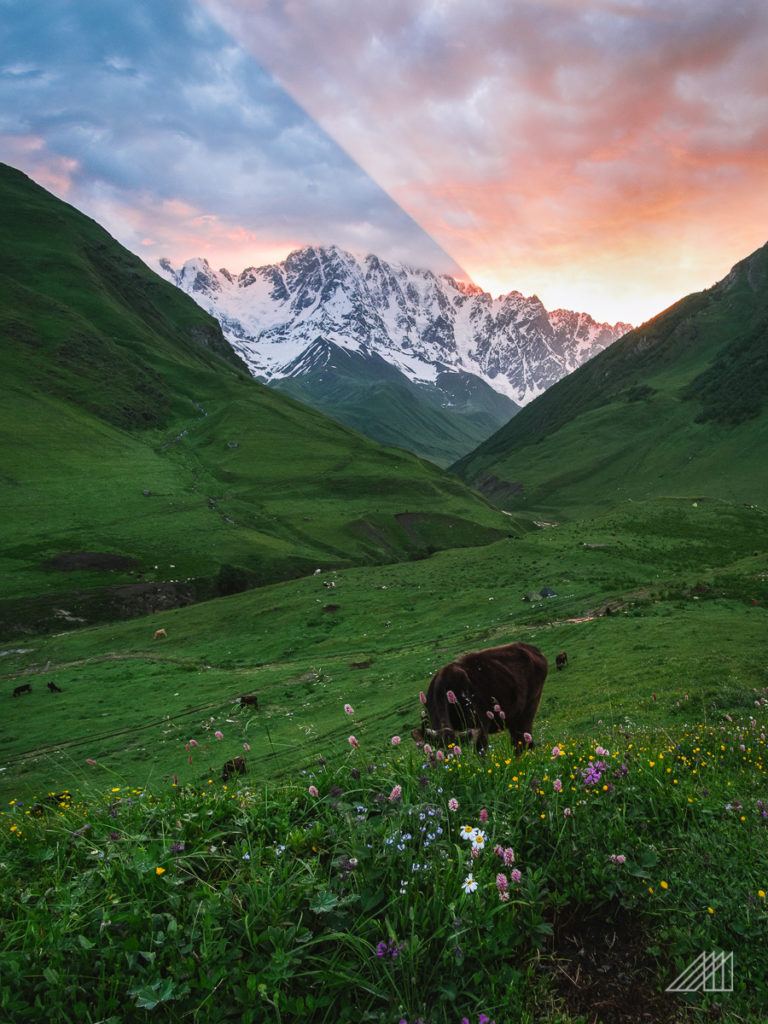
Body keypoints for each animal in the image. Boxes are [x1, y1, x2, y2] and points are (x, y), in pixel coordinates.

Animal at [411, 643, 548, 757]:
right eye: (435, 752)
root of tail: (530, 648)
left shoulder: (481, 726)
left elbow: (481, 754)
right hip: (513, 717)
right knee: (519, 741)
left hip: (529, 708)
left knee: (523, 740)